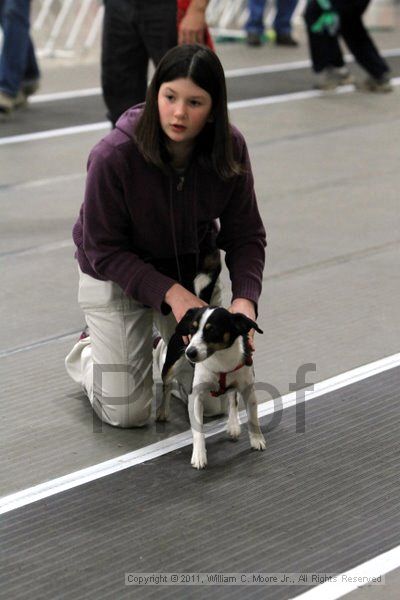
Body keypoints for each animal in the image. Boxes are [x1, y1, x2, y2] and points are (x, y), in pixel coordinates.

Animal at [158, 304, 268, 468]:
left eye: (212, 331)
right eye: (192, 329)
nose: (190, 352)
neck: (220, 359)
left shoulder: (248, 389)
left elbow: (253, 418)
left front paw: (257, 440)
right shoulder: (195, 396)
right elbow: (198, 430)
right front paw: (199, 455)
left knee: (232, 397)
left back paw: (233, 425)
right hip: (171, 366)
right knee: (167, 386)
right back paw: (162, 411)